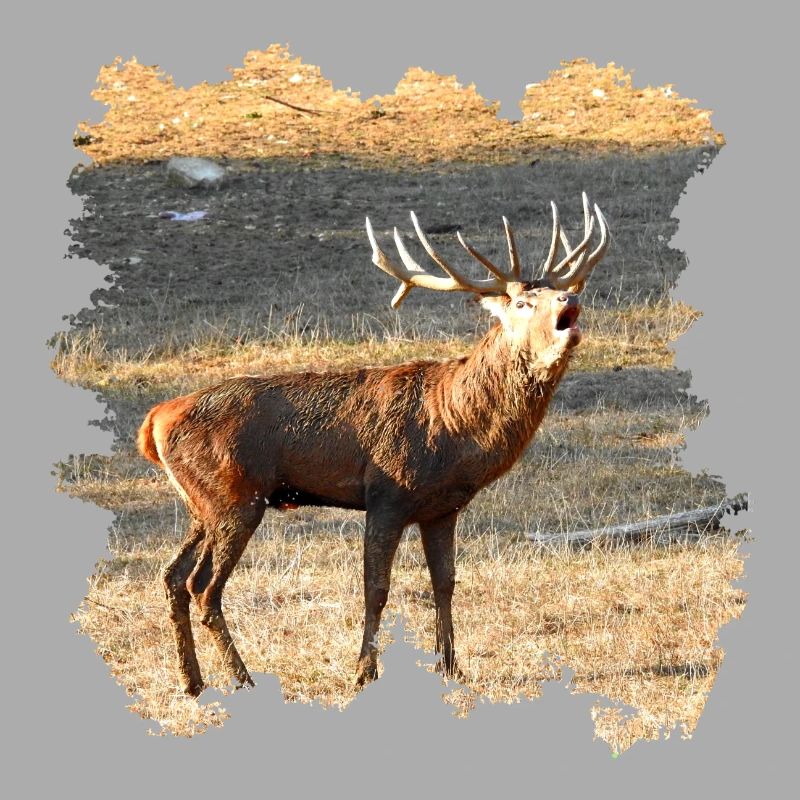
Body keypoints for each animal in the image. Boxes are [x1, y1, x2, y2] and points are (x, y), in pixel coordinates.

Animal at [137, 193, 609, 697]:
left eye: (555, 291)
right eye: (522, 301)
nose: (570, 297)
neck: (455, 429)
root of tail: (154, 421)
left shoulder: (443, 508)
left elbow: (445, 583)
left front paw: (451, 666)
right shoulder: (387, 494)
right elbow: (376, 588)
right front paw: (365, 672)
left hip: (203, 503)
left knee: (172, 576)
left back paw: (193, 681)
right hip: (235, 496)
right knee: (203, 587)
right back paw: (242, 679)